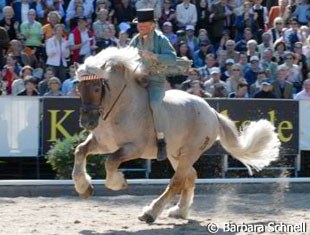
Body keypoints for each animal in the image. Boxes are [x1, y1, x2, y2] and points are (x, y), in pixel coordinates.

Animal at [72, 46, 280, 223]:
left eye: (97, 88)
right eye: (79, 88)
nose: (87, 122)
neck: (120, 107)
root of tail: (211, 111)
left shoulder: (133, 148)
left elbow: (110, 162)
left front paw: (119, 183)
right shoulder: (103, 143)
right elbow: (80, 151)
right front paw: (84, 188)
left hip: (190, 152)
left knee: (177, 181)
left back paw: (151, 213)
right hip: (175, 154)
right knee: (190, 176)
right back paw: (180, 211)